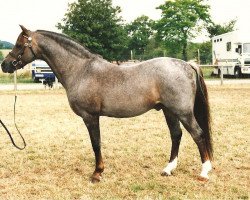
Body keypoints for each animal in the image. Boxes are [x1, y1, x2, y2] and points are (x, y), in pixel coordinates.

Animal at [1, 25, 213, 183]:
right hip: (169, 111)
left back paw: (204, 172)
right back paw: (168, 169)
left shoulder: (90, 117)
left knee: (198, 134)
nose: (5, 65)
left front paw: (97, 173)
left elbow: (96, 144)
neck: (81, 70)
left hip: (183, 112)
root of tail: (186, 64)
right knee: (176, 135)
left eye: (19, 44)